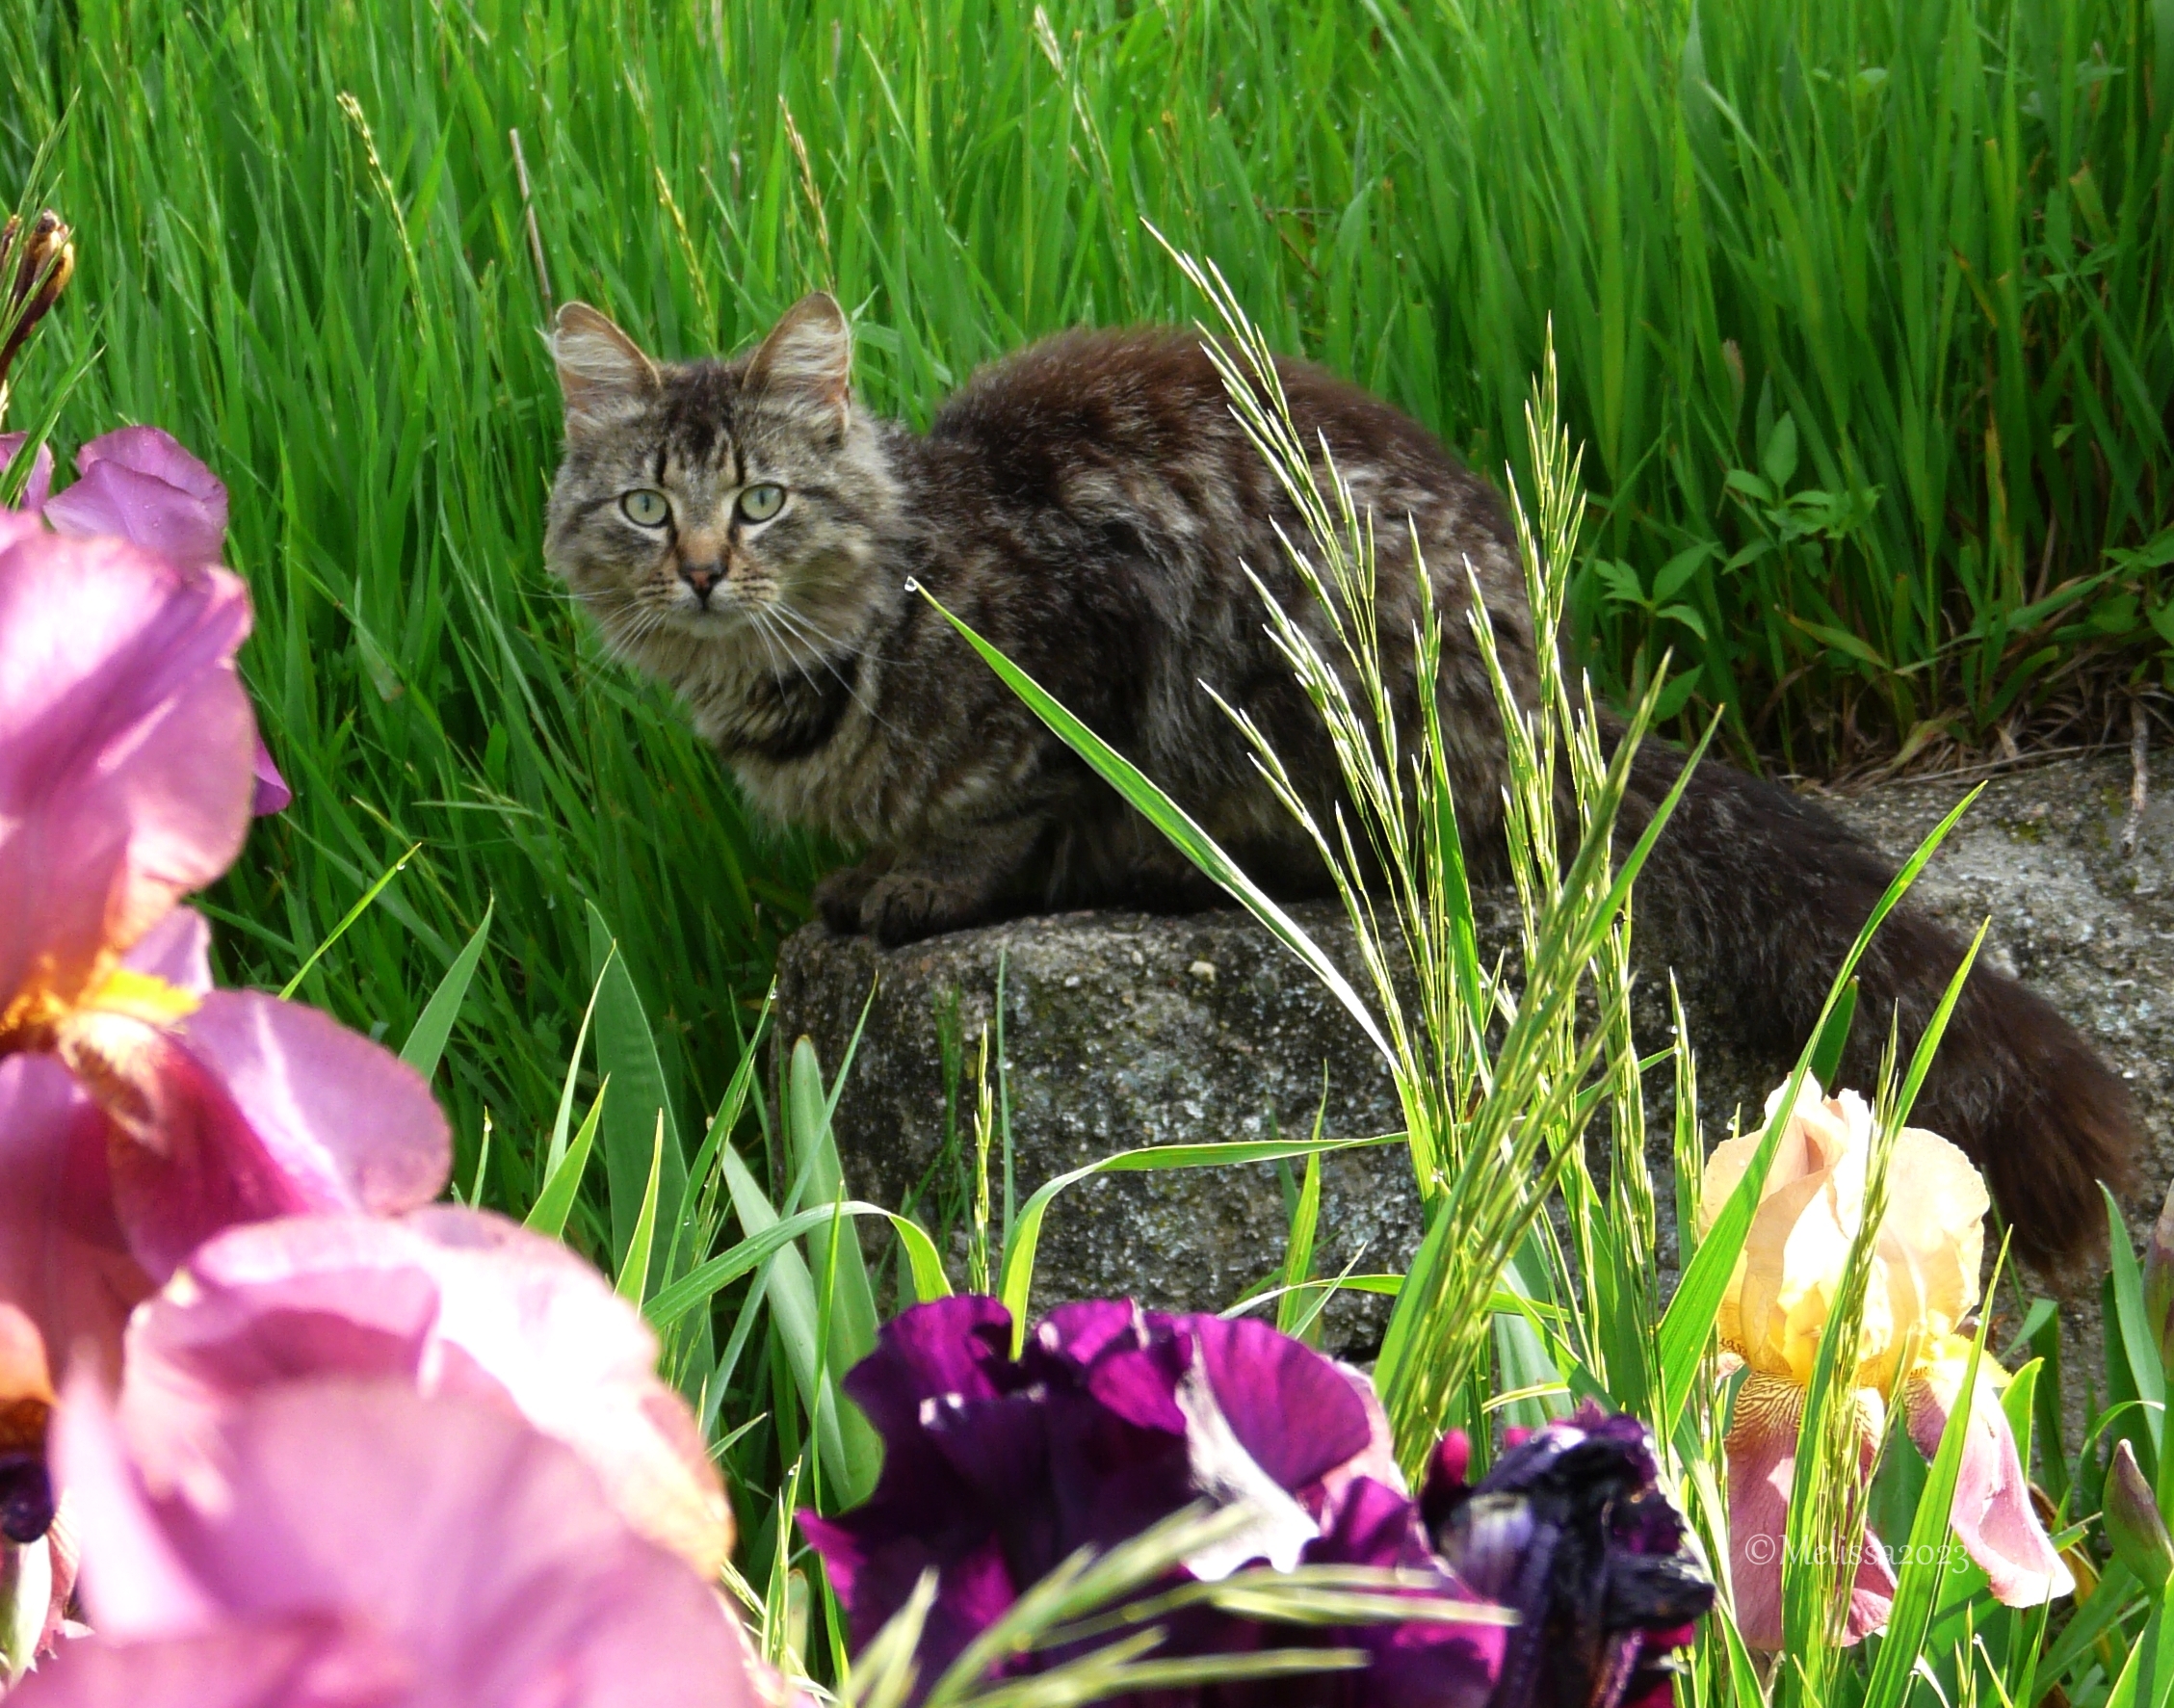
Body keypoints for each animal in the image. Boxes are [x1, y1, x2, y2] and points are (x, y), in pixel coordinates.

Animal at [545, 291, 2141, 1267]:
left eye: (762, 501)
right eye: (647, 508)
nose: (704, 569)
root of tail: (1569, 698)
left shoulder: (1085, 634)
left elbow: (1009, 805)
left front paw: (920, 880)